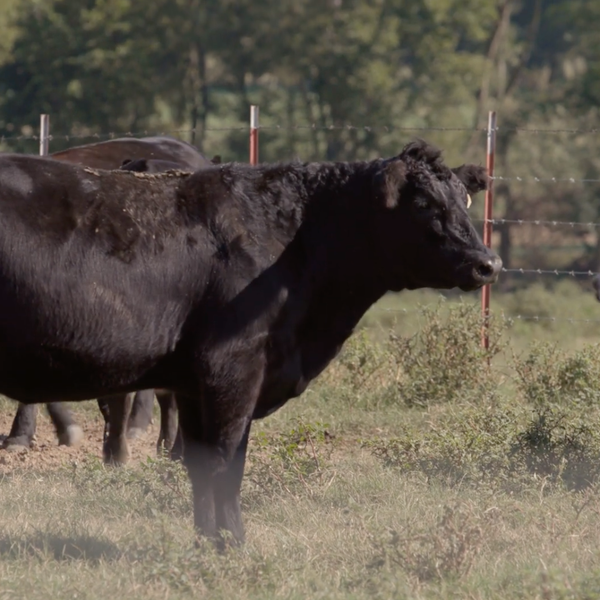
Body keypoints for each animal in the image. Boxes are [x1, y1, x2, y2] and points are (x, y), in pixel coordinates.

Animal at [0, 142, 502, 548]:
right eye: (423, 203)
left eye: (464, 199)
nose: (488, 263)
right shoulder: (233, 370)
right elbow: (227, 464)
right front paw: (233, 545)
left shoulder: (193, 385)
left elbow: (201, 465)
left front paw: (208, 543)